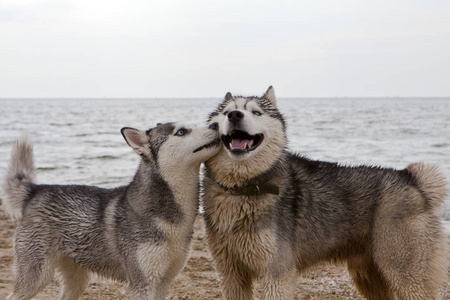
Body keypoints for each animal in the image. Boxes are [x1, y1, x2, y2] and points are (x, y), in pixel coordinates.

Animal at [2, 122, 221, 300]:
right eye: (181, 132)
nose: (216, 124)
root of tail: (36, 190)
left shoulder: (164, 282)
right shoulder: (141, 284)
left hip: (76, 280)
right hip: (36, 277)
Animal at [202, 86, 448, 298]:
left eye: (256, 112)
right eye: (225, 111)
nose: (234, 115)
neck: (241, 189)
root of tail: (412, 180)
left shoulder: (277, 274)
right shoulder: (231, 275)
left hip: (407, 277)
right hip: (369, 277)